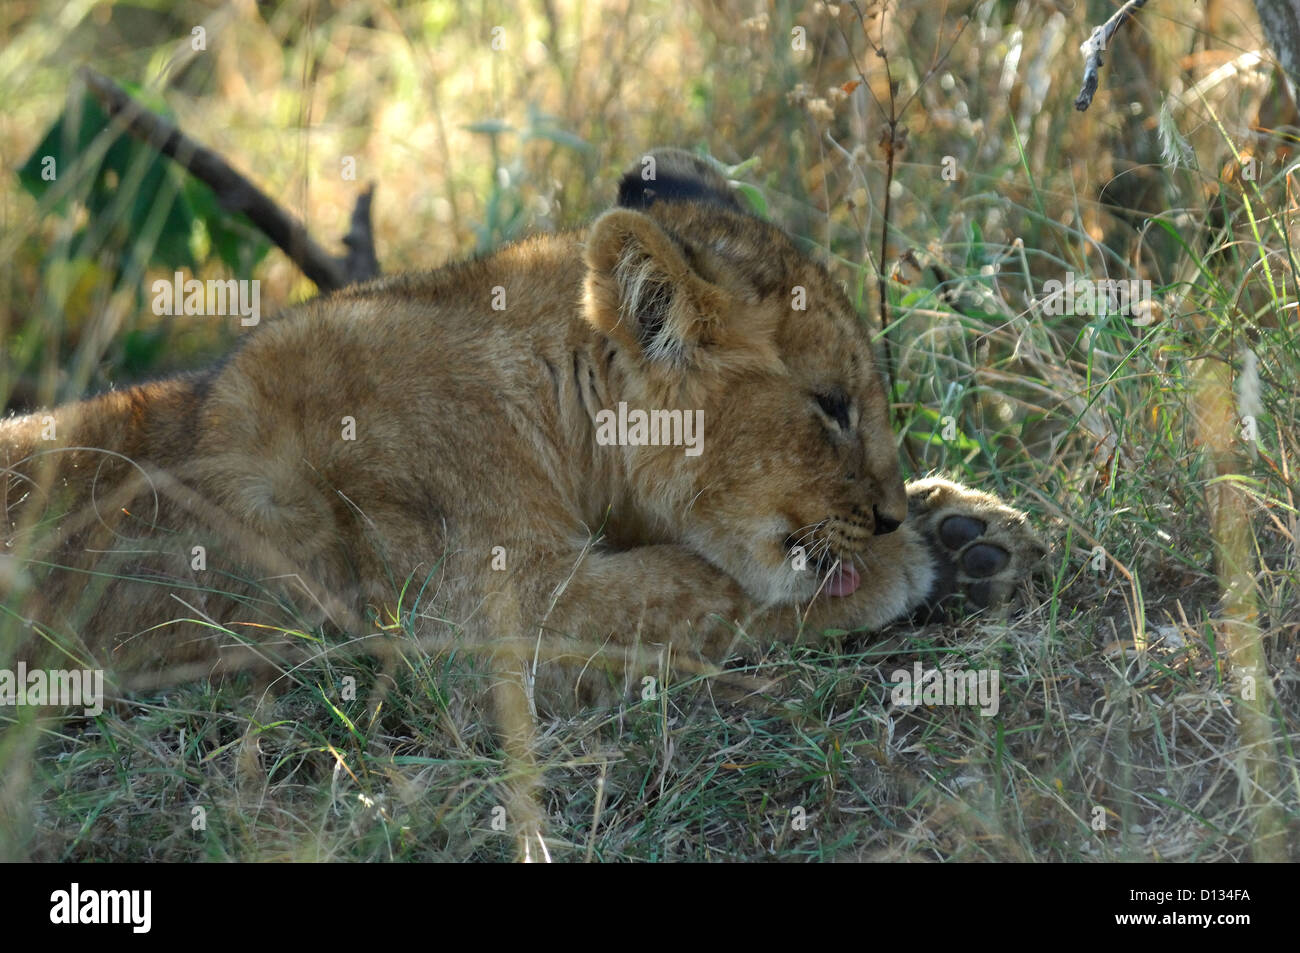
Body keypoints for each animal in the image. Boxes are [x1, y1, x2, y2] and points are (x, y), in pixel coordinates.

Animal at [0, 149, 1043, 713]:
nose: (885, 514)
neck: (554, 407)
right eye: (829, 404)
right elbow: (696, 586)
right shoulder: (484, 629)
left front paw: (966, 530)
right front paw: (912, 561)